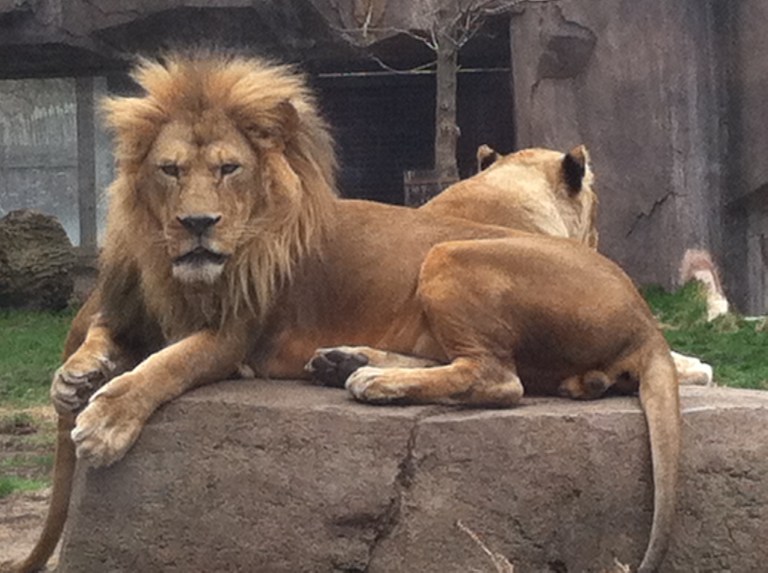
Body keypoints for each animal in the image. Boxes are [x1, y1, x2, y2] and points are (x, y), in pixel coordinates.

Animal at [12, 53, 679, 573]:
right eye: (170, 170)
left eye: (229, 169)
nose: (197, 223)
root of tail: (643, 314)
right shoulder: (136, 306)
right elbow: (103, 335)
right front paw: (74, 377)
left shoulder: (235, 332)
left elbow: (165, 367)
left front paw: (105, 423)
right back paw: (346, 362)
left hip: (448, 254)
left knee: (499, 378)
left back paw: (374, 381)